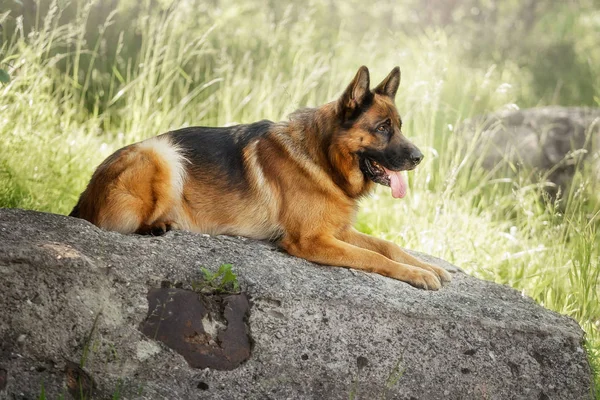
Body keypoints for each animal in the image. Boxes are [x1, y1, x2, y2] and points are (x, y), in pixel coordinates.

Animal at [71, 66, 450, 290]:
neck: (321, 156)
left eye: (399, 126)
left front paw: (428, 266)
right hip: (163, 153)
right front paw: (418, 274)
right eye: (382, 128)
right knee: (121, 223)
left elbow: (388, 245)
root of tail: (84, 196)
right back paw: (159, 224)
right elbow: (374, 258)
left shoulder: (337, 230)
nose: (419, 157)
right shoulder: (312, 241)